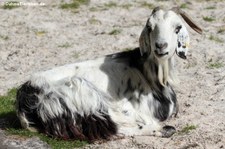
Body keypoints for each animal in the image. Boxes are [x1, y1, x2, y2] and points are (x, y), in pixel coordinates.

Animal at [15, 7, 202, 141]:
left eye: (177, 27)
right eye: (150, 27)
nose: (160, 46)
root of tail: (24, 100)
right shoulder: (128, 107)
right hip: (80, 90)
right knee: (111, 128)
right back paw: (164, 130)